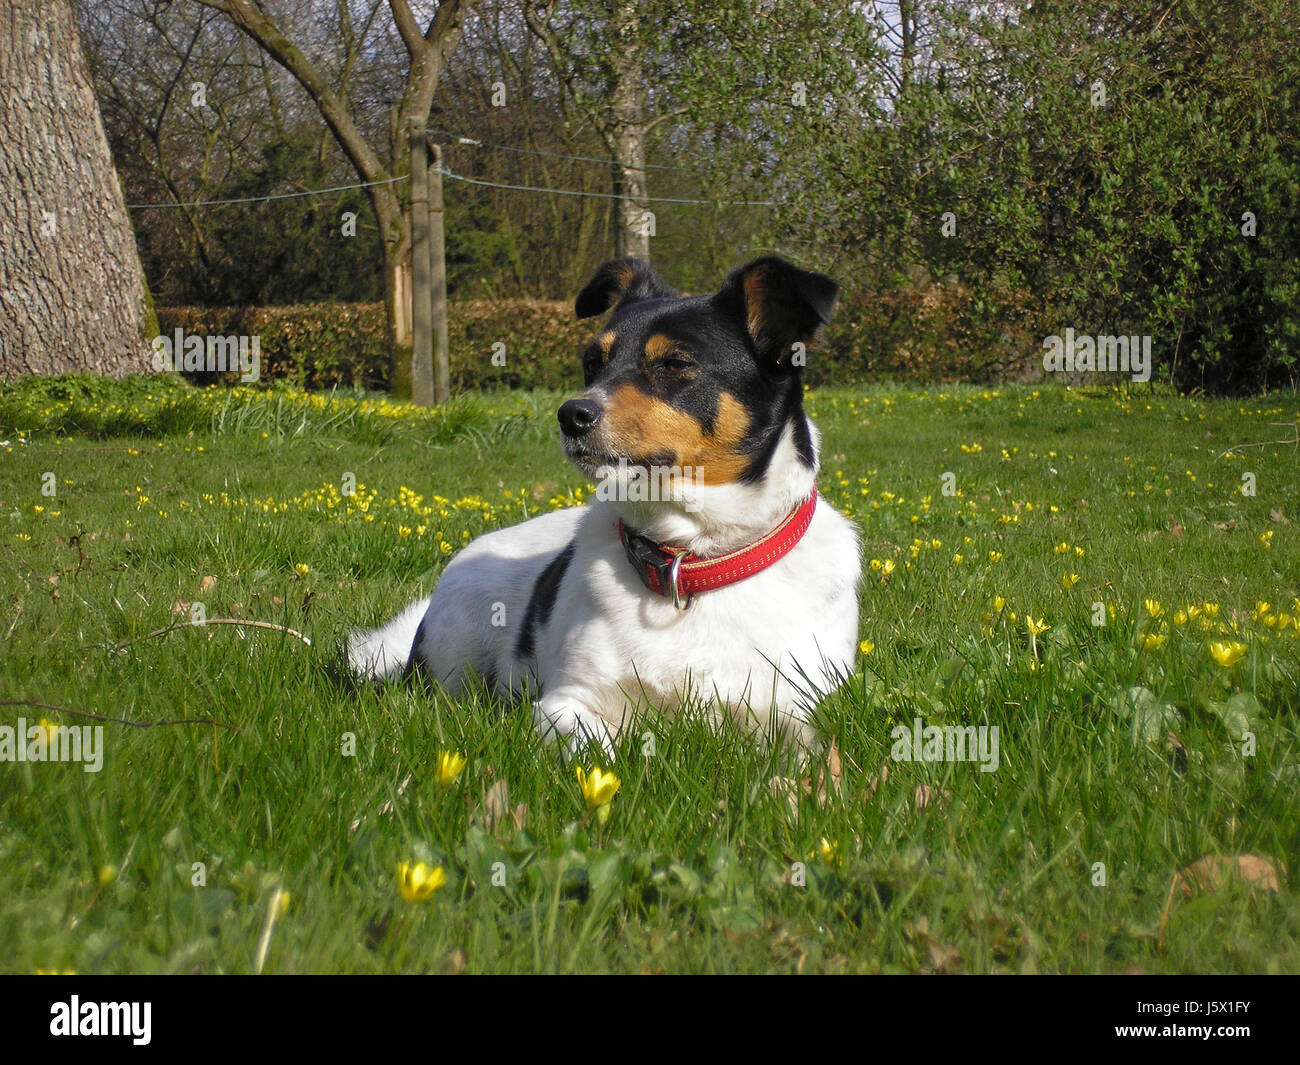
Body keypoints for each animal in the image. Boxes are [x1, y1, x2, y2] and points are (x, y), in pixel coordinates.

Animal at [351, 257, 868, 759]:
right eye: (591, 363)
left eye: (675, 363)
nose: (570, 415)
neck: (691, 559)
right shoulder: (567, 702)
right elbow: (598, 754)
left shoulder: (790, 708)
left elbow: (804, 755)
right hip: (454, 657)